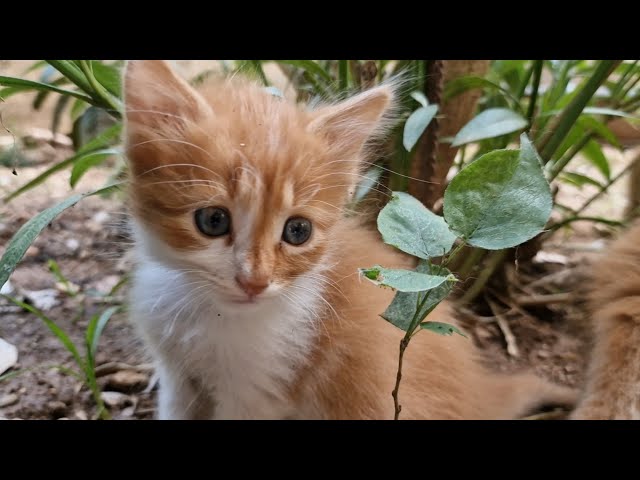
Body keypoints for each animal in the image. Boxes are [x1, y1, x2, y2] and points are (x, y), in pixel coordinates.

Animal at [122, 61, 572, 420]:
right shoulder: (177, 376)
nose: (254, 282)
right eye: (213, 220)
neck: (210, 312)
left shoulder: (260, 391)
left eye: (297, 231)